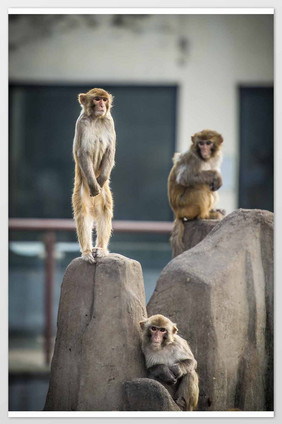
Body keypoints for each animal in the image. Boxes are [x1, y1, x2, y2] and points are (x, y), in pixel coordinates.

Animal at [72, 88, 117, 264]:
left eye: (104, 100)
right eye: (97, 99)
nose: (102, 105)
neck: (96, 119)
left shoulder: (110, 122)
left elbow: (110, 151)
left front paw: (101, 179)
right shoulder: (81, 125)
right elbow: (83, 153)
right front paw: (94, 184)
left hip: (104, 194)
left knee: (105, 211)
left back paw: (101, 249)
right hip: (81, 194)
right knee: (83, 215)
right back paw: (86, 252)